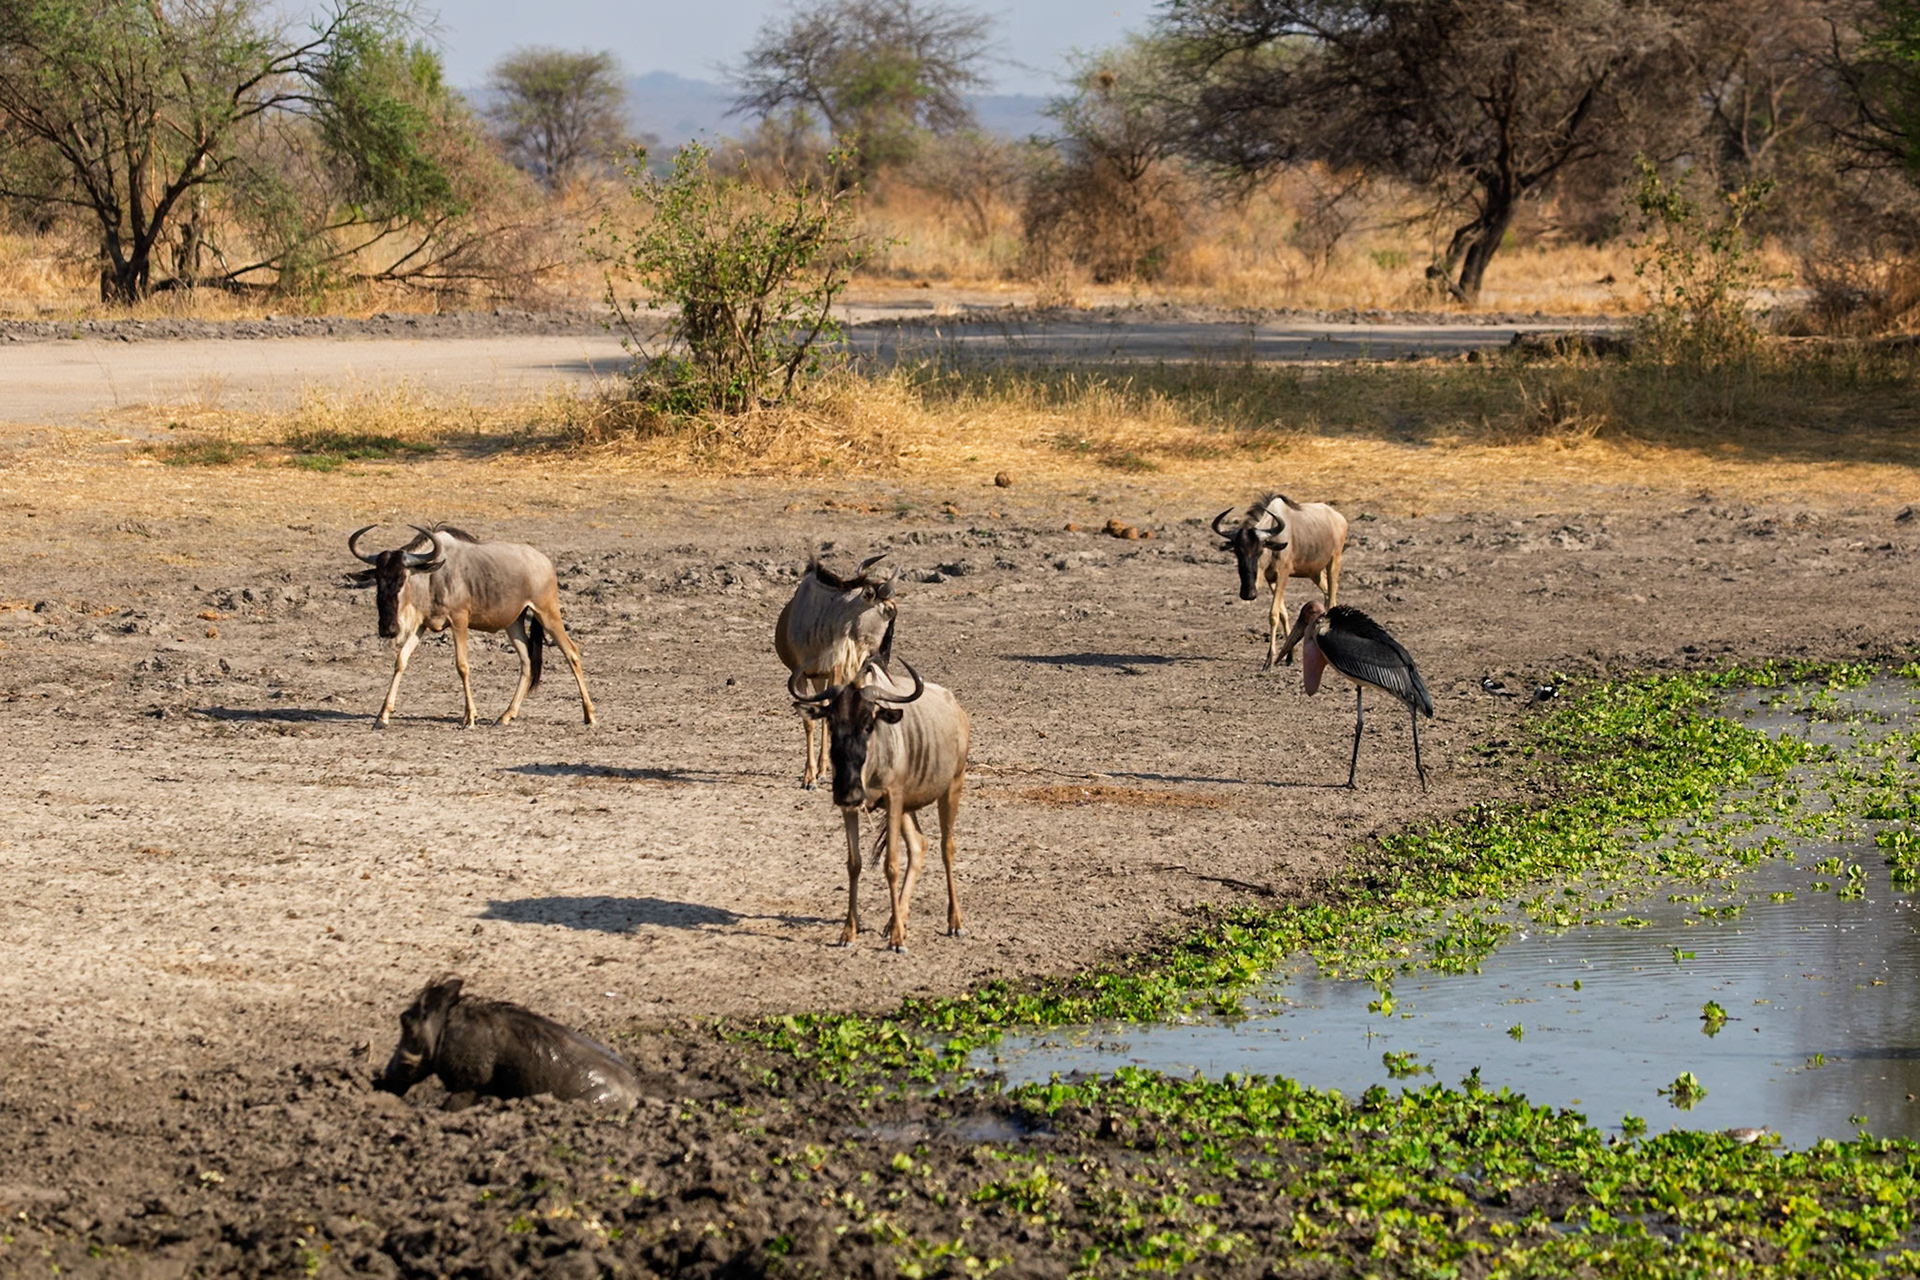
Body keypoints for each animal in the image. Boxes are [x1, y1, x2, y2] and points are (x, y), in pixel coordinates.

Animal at [347, 524, 595, 728]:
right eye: (378, 581)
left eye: (401, 579)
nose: (387, 629)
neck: (433, 576)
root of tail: (546, 562)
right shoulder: (421, 625)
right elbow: (401, 661)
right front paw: (382, 716)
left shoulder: (459, 621)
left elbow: (462, 665)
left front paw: (470, 718)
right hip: (514, 623)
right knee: (526, 661)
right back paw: (506, 716)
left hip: (547, 614)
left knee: (571, 652)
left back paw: (589, 715)